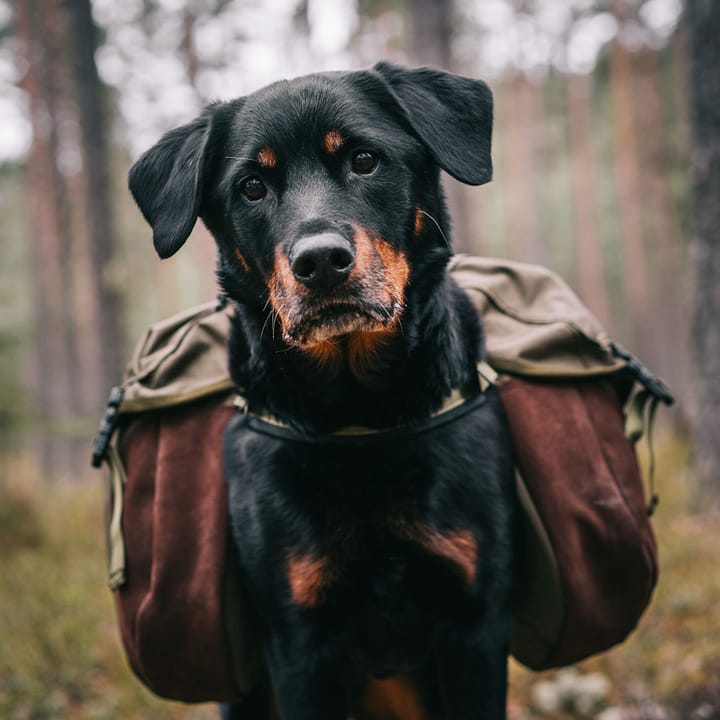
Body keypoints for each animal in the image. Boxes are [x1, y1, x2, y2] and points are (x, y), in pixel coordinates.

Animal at [126, 62, 516, 720]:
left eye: (364, 160)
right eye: (251, 188)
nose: (322, 261)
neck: (359, 418)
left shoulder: (476, 625)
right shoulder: (299, 641)